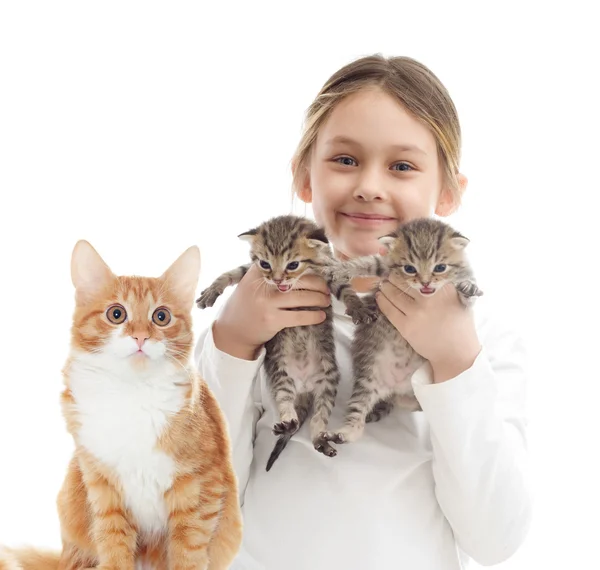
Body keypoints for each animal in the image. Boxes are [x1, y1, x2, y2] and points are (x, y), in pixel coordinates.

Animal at [2, 240, 241, 568]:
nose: (140, 336)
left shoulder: (198, 489)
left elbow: (188, 554)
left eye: (161, 317)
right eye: (116, 314)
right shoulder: (103, 487)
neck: (133, 395)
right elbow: (114, 546)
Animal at [197, 215, 370, 468]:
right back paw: (288, 420)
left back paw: (320, 440)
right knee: (286, 400)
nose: (277, 280)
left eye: (292, 265)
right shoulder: (251, 269)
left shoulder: (330, 271)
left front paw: (358, 307)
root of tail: (305, 386)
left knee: (319, 418)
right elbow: (234, 272)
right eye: (265, 264)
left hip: (328, 381)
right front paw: (212, 289)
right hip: (280, 370)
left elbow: (346, 290)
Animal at [324, 220, 482, 446]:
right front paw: (341, 267)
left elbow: (469, 294)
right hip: (368, 379)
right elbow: (368, 262)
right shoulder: (385, 265)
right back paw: (345, 432)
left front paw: (468, 287)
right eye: (409, 268)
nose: (425, 283)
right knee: (359, 410)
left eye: (440, 267)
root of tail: (394, 389)